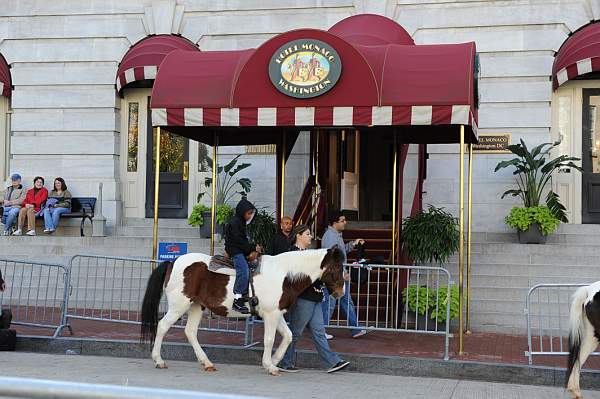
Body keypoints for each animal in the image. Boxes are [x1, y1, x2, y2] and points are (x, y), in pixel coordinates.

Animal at [139, 248, 342, 376]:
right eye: (337, 267)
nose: (341, 292)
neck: (285, 274)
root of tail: (173, 262)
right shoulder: (270, 315)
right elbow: (270, 340)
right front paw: (270, 365)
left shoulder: (276, 313)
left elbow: (288, 336)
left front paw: (274, 361)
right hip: (179, 306)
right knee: (163, 326)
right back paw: (158, 360)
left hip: (196, 306)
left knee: (190, 332)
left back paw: (207, 363)